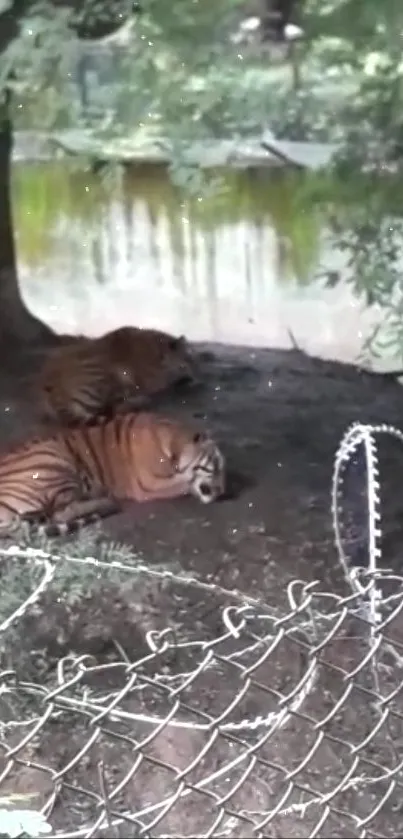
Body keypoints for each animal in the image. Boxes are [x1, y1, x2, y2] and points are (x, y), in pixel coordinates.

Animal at [0, 410, 226, 536]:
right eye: (216, 465)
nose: (223, 492)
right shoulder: (148, 485)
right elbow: (185, 483)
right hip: (54, 461)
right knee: (61, 512)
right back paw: (106, 501)